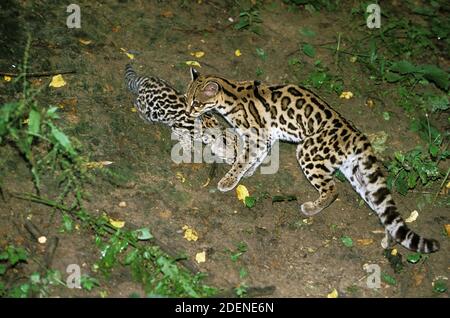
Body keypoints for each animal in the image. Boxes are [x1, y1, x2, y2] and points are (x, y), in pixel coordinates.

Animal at [185, 67, 440, 253]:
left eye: (196, 103)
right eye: (187, 98)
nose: (187, 112)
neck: (231, 94)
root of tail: (357, 134)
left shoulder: (257, 133)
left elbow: (244, 157)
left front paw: (229, 180)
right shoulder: (266, 135)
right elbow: (258, 156)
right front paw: (247, 172)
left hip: (308, 152)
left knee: (333, 189)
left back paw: (312, 207)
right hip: (357, 173)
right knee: (382, 208)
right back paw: (389, 240)